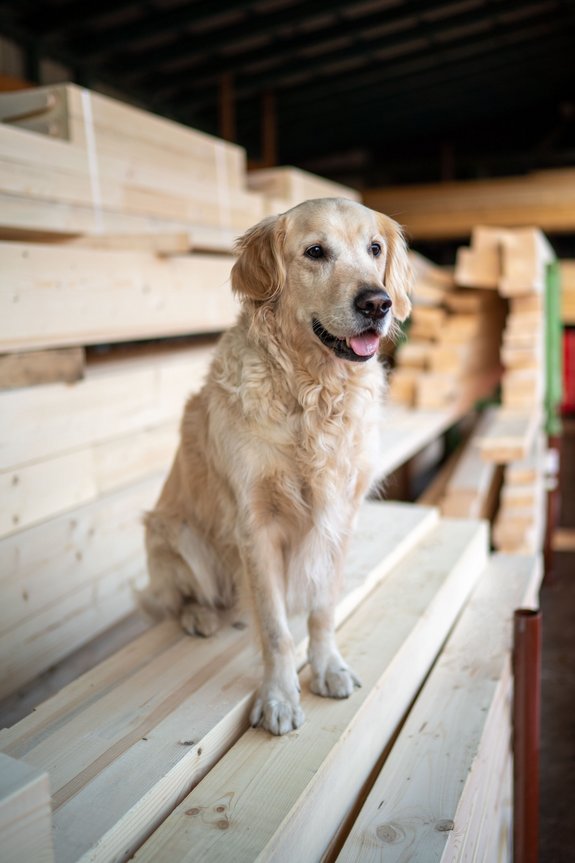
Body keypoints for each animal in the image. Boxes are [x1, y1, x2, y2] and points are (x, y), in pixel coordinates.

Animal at [144, 197, 414, 736]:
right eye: (315, 252)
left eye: (375, 248)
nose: (377, 303)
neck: (314, 393)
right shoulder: (255, 524)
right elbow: (275, 628)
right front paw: (279, 697)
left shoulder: (341, 515)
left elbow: (322, 609)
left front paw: (327, 667)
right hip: (174, 533)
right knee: (175, 598)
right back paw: (200, 615)